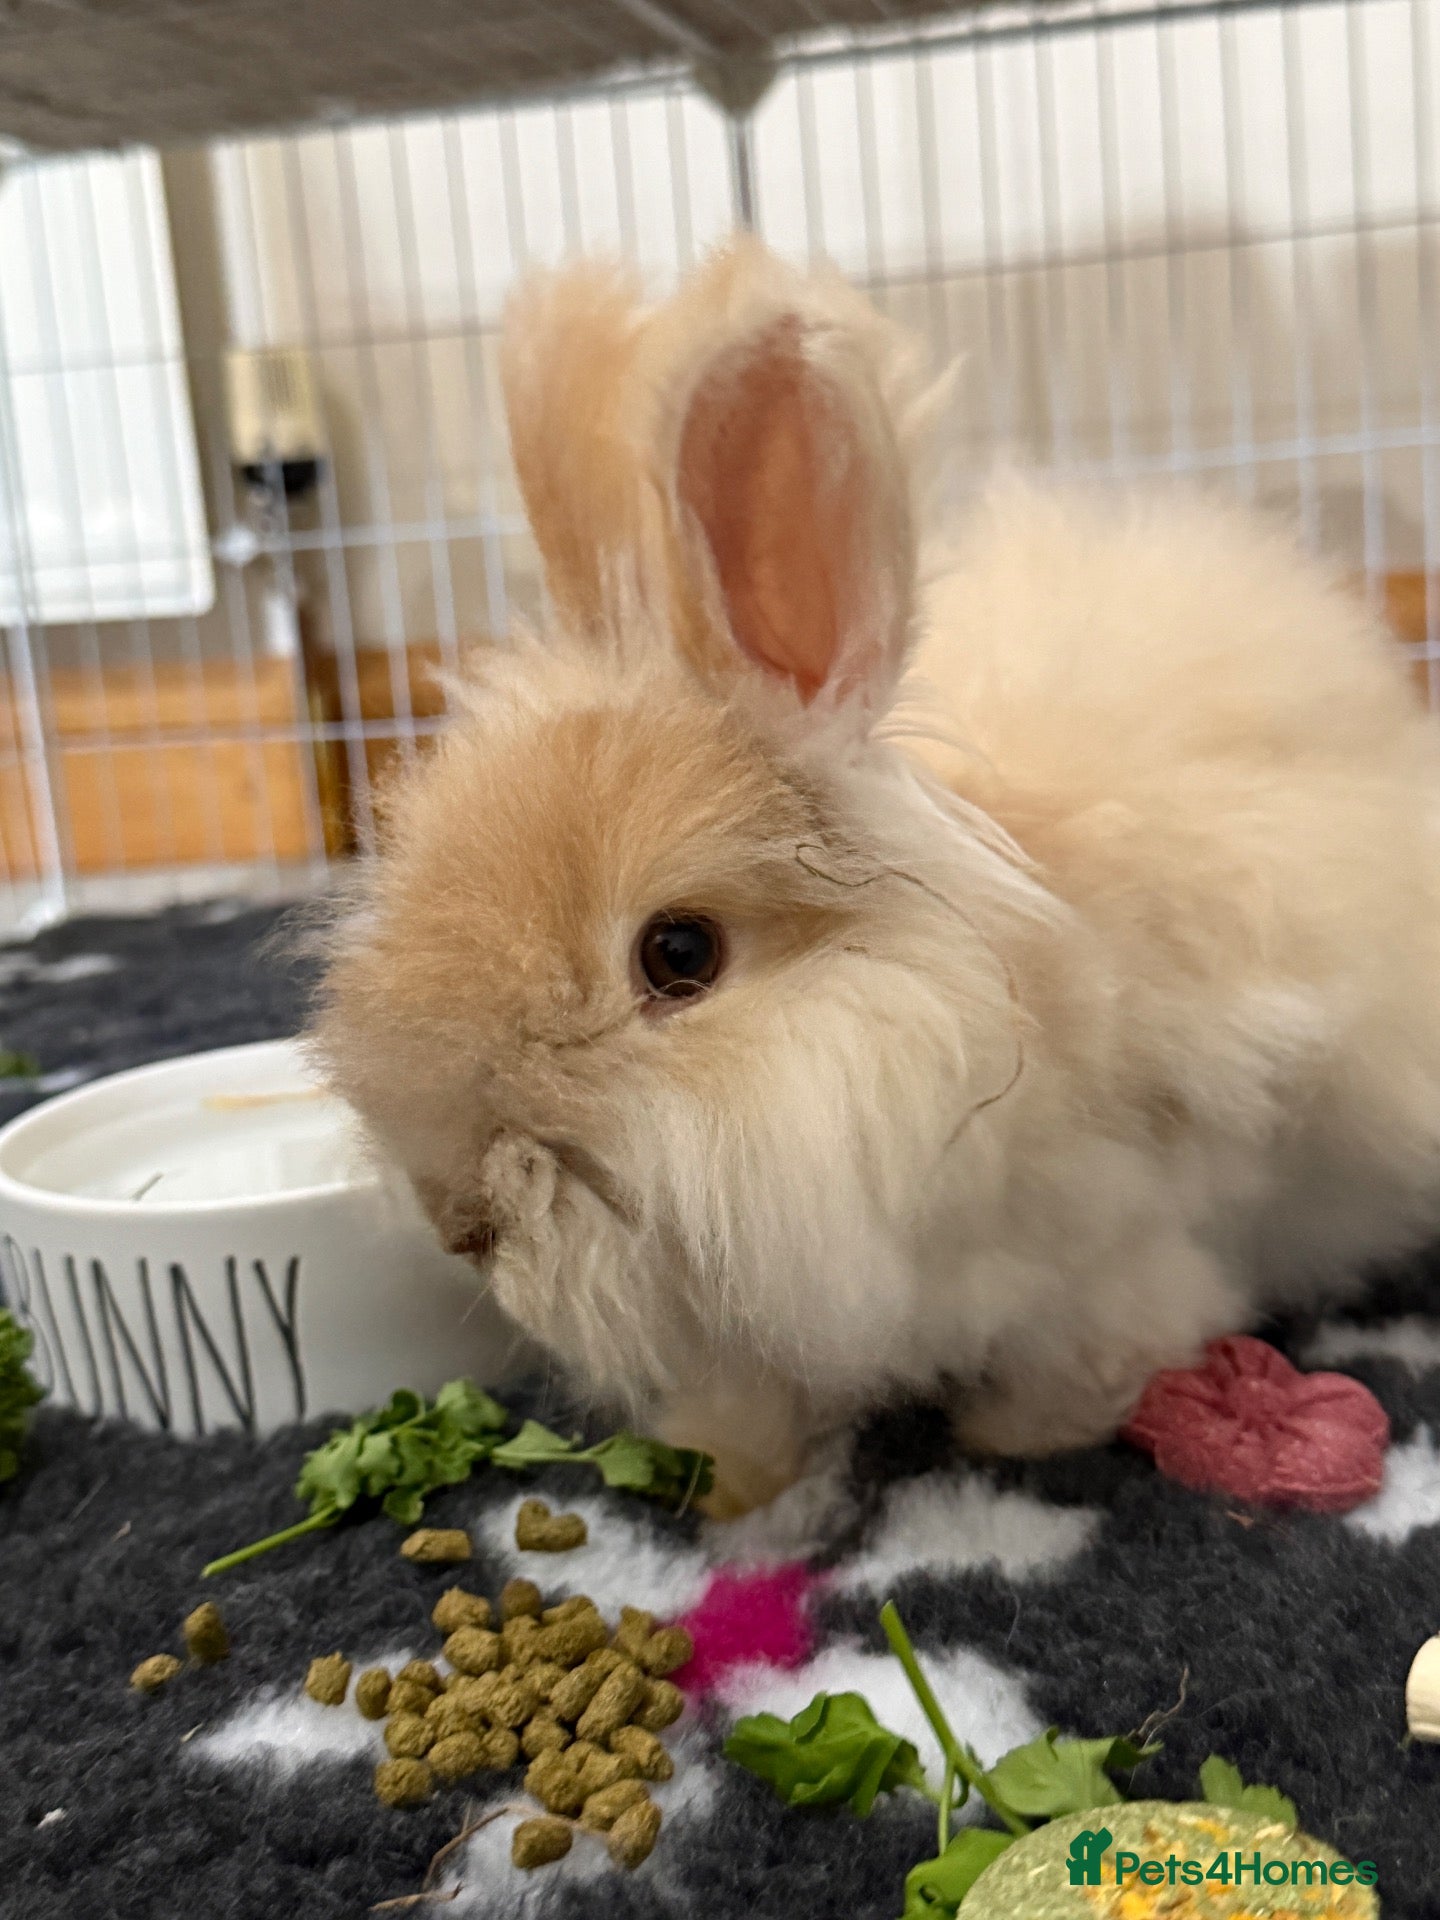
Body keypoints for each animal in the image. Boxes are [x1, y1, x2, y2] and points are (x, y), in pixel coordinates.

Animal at [311, 237, 1440, 1517]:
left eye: (679, 955)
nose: (458, 1218)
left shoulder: (1126, 1246)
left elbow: (1106, 1343)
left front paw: (1018, 1441)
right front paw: (730, 1485)